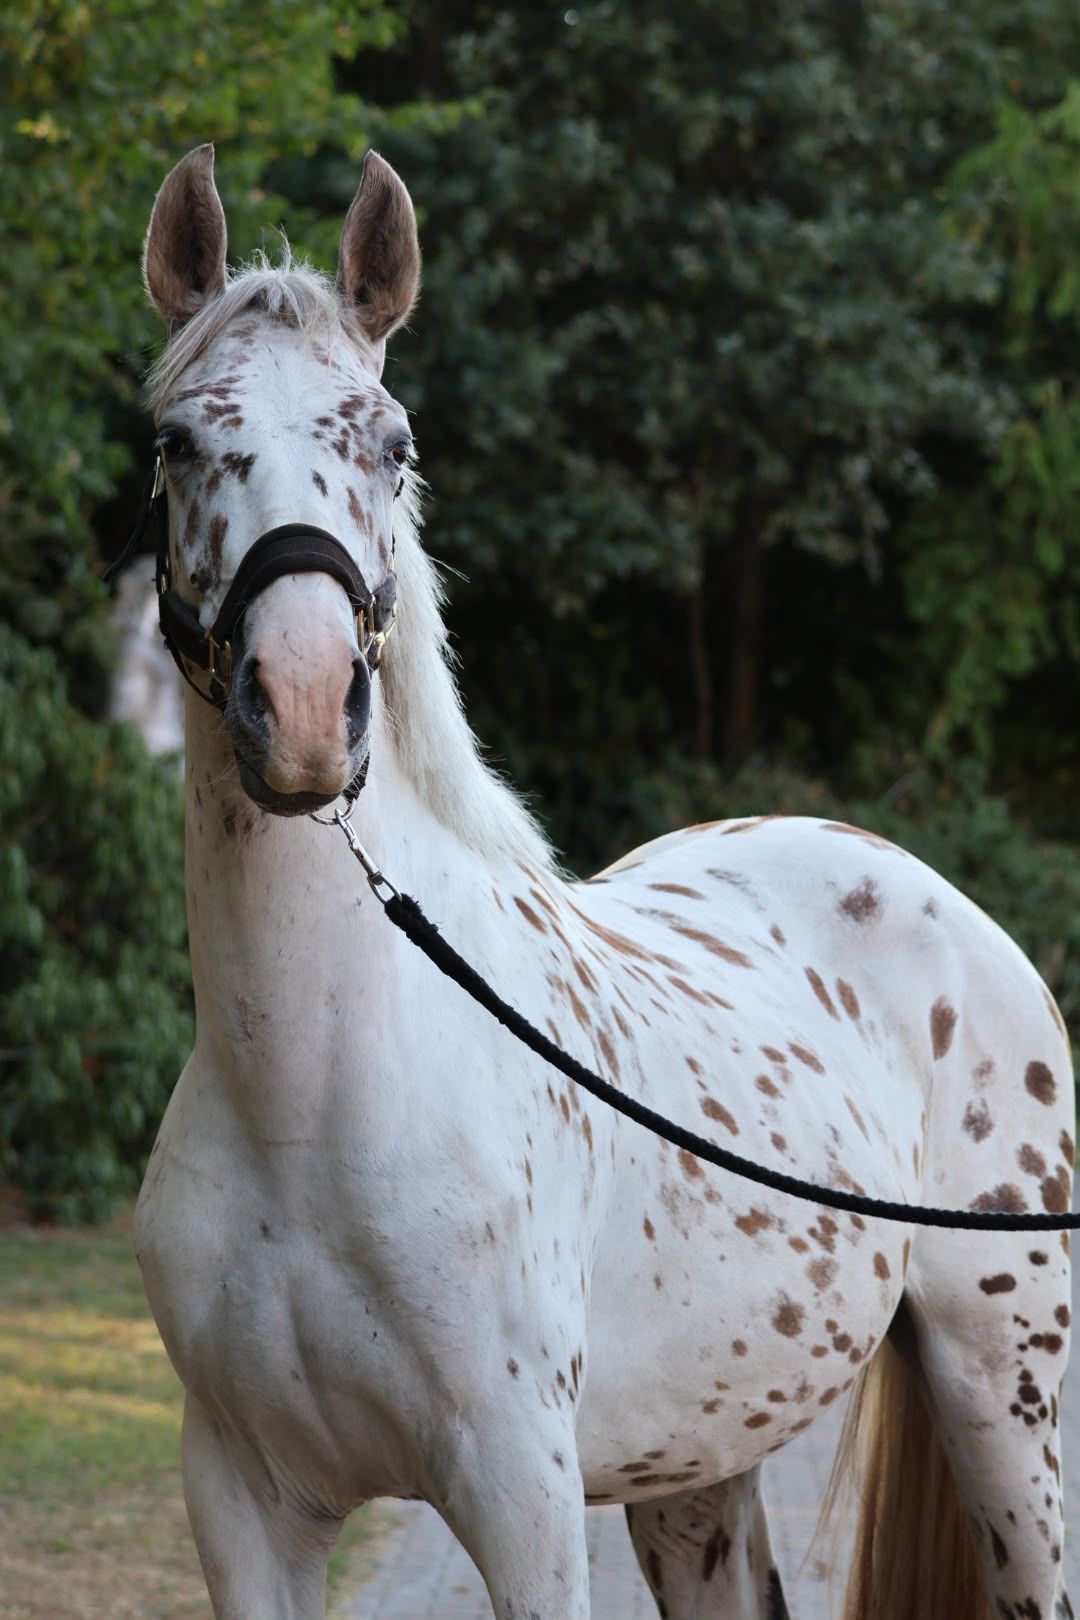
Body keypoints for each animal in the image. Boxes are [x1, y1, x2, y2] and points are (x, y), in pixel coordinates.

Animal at [132, 145, 1074, 1620]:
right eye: (174, 442)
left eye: (393, 444)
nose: (302, 705)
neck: (309, 1103)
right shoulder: (243, 1502)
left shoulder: (520, 1493)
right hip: (701, 1467)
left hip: (1006, 1392)